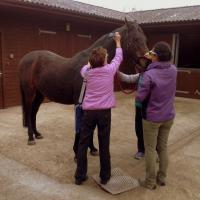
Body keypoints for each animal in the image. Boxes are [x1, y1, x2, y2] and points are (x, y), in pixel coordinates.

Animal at [18, 19, 148, 145]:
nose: (145, 63)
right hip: (29, 92)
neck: (91, 65)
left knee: (34, 111)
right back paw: (31, 138)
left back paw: (37, 134)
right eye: (135, 39)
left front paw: (93, 148)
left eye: (145, 39)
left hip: (40, 93)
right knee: (29, 111)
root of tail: (25, 59)